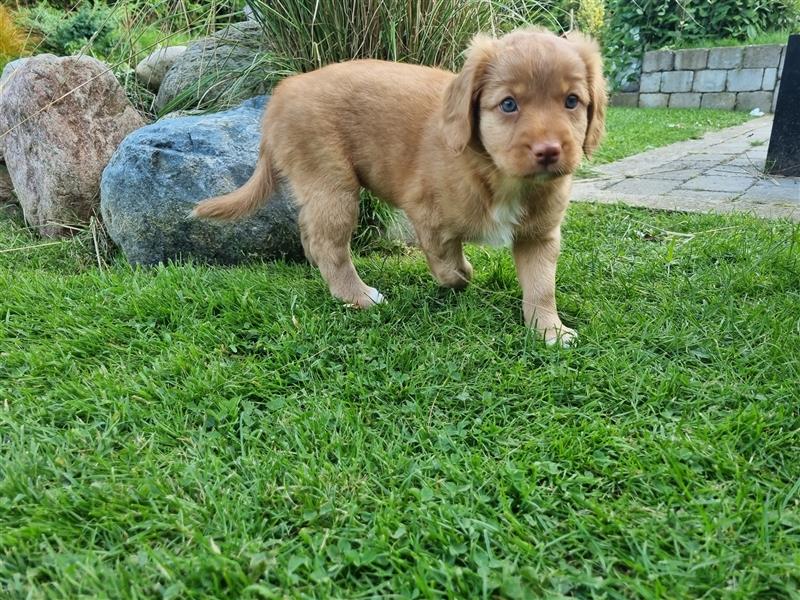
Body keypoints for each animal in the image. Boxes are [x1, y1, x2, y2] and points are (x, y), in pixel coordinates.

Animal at [194, 28, 608, 346]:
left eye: (572, 101)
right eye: (508, 105)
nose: (549, 151)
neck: (499, 176)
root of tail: (280, 94)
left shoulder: (540, 236)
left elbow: (541, 285)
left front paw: (549, 330)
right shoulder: (426, 213)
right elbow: (449, 266)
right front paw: (462, 275)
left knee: (309, 230)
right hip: (333, 183)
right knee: (330, 245)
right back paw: (359, 296)